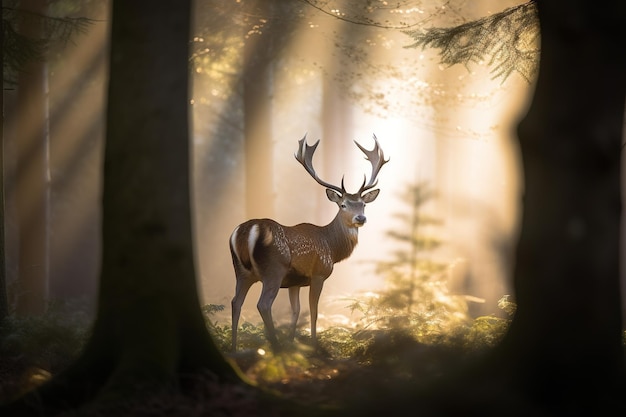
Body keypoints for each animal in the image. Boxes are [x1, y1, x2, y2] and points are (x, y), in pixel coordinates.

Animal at [229, 135, 386, 350]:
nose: (360, 218)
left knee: (235, 302)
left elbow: (296, 311)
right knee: (263, 304)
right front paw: (313, 345)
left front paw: (292, 342)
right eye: (343, 205)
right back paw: (275, 347)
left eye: (363, 204)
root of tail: (245, 231)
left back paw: (234, 347)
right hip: (273, 269)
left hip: (241, 272)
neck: (332, 248)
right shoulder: (318, 273)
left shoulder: (294, 282)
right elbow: (314, 311)